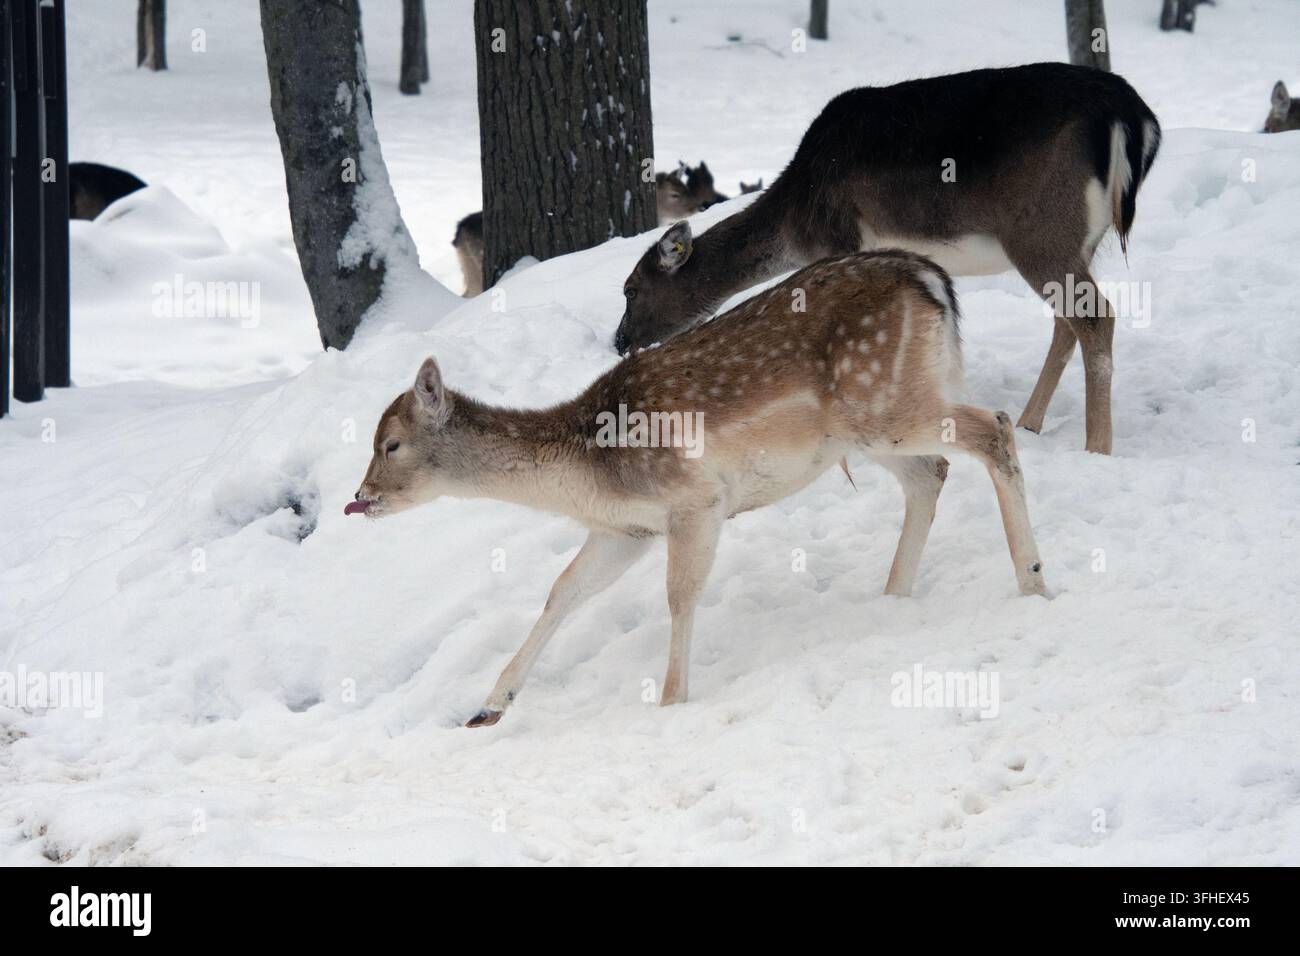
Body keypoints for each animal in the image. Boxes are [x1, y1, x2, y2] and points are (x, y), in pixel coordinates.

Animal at [345, 250, 1047, 727]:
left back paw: (1034, 582)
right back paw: (894, 595)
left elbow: (679, 596)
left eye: (391, 444)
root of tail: (934, 279)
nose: (361, 497)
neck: (586, 473)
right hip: (872, 428)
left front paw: (670, 699)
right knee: (933, 473)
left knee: (995, 429)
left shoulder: (695, 500)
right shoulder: (626, 530)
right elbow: (563, 590)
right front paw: (489, 705)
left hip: (883, 402)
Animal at [614, 63, 1162, 456]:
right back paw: (1029, 423)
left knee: (1096, 317)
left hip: (1042, 231)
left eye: (631, 289)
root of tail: (1135, 119)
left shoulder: (839, 241)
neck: (798, 222)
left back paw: (1097, 447)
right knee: (1067, 322)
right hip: (1082, 240)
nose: (619, 341)